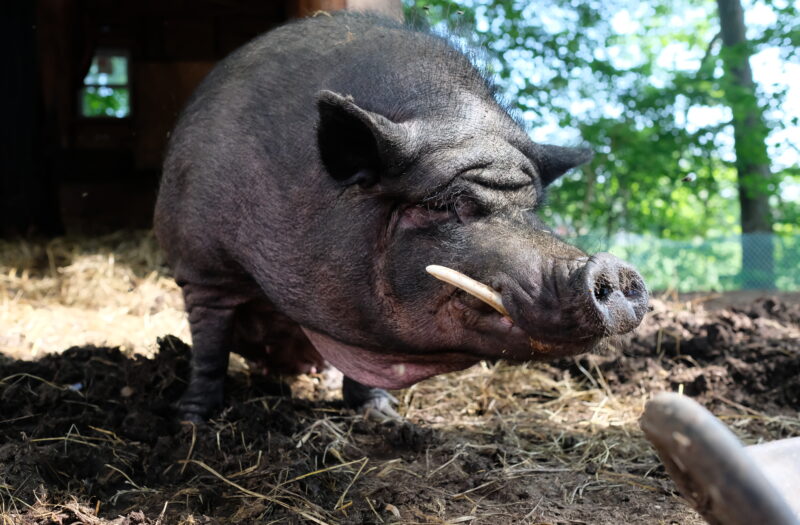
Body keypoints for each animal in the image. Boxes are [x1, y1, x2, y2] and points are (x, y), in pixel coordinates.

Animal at [154, 11, 648, 422]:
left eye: (532, 206)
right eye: (440, 204)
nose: (612, 268)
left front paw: (385, 417)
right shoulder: (203, 268)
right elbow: (210, 348)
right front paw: (190, 422)